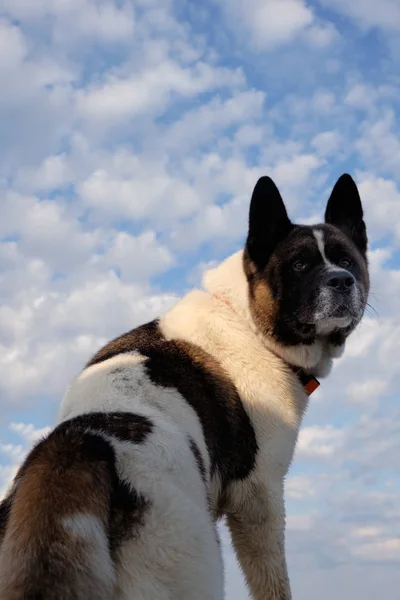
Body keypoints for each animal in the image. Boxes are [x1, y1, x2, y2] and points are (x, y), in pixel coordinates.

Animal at [0, 171, 368, 596]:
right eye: (300, 264)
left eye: (347, 261)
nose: (342, 280)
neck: (245, 317)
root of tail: (78, 445)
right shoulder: (260, 499)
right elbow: (274, 582)